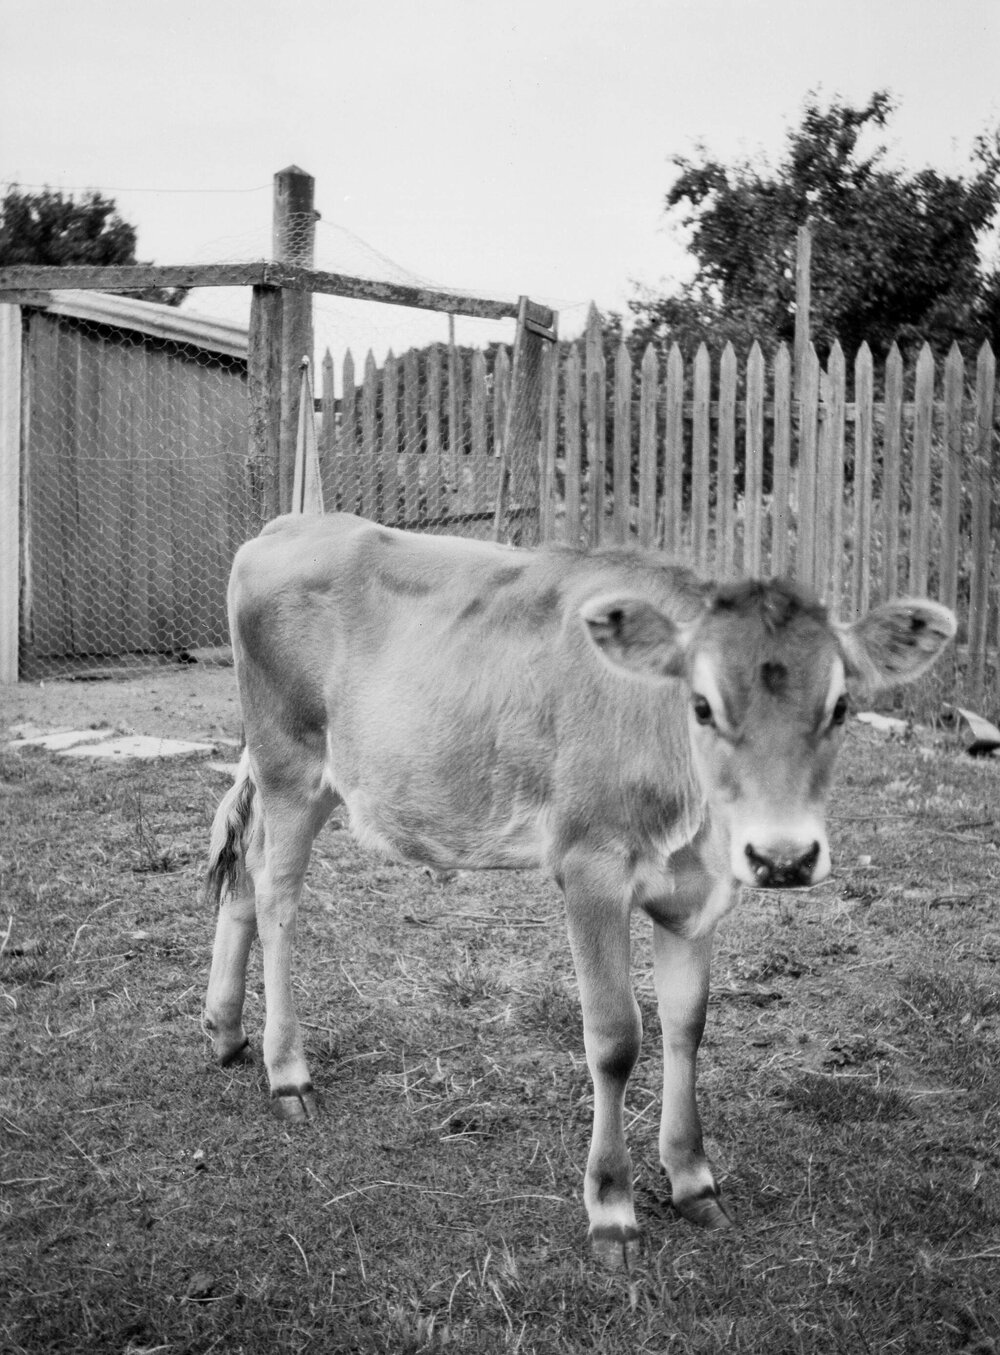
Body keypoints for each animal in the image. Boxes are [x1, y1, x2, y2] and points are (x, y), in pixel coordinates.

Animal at [204, 511, 955, 1265]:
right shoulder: (589, 866)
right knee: (276, 895)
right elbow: (616, 1037)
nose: (784, 856)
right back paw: (288, 1071)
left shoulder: (696, 897)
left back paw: (226, 1029)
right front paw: (612, 1207)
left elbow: (687, 1023)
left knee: (243, 869)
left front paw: (693, 1180)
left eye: (840, 706)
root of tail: (292, 523)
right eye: (702, 705)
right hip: (290, 764)